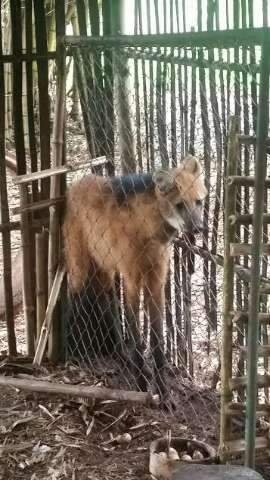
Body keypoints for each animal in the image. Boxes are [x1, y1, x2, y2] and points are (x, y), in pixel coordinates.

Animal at [62, 157, 207, 402]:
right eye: (179, 205)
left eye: (198, 202)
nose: (198, 228)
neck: (148, 231)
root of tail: (77, 182)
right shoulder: (132, 278)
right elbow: (137, 335)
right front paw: (141, 386)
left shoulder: (156, 279)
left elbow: (157, 341)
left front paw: (163, 393)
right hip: (81, 266)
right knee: (74, 299)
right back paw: (73, 352)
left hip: (106, 267)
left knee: (109, 302)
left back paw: (121, 354)